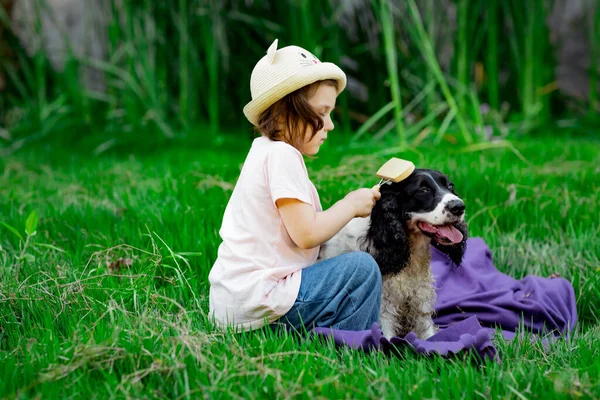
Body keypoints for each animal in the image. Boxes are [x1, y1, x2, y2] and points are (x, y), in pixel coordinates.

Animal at [318, 169, 468, 340]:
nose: (459, 207)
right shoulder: (384, 305)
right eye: (423, 190)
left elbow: (426, 330)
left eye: (450, 186)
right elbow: (387, 336)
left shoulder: (419, 297)